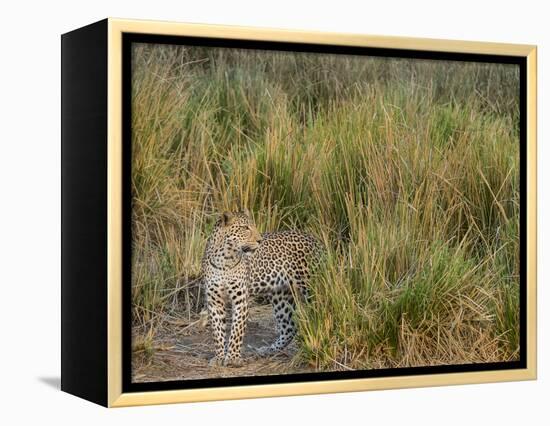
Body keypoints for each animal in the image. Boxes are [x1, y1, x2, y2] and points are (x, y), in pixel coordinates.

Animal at [202, 209, 324, 366]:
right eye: (245, 228)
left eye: (253, 226)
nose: (260, 240)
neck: (224, 259)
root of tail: (315, 240)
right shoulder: (214, 301)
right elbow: (217, 332)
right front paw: (219, 357)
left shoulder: (241, 299)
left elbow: (237, 330)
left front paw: (233, 358)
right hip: (281, 295)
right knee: (289, 327)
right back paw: (268, 350)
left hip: (311, 287)